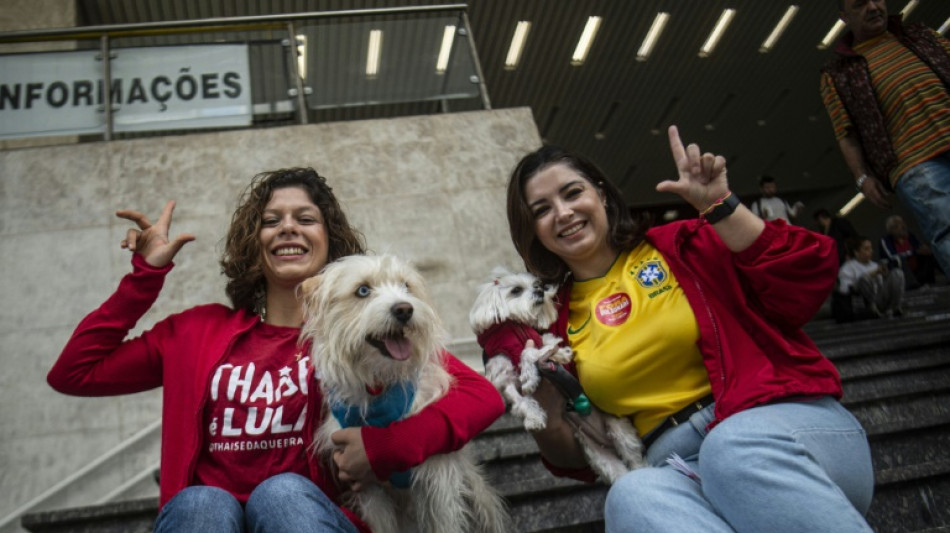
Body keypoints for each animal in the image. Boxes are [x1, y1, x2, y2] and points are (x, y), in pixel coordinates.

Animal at [304, 254, 512, 532]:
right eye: (363, 290)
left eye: (406, 286)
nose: (404, 309)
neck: (380, 385)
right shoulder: (368, 487)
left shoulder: (438, 478)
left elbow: (444, 524)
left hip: (479, 498)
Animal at [468, 266, 648, 482]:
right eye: (516, 290)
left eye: (536, 284)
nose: (540, 291)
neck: (515, 328)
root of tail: (605, 440)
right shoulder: (504, 379)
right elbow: (521, 400)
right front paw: (534, 417)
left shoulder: (544, 343)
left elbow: (538, 349)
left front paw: (535, 372)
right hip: (599, 456)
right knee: (618, 473)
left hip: (619, 431)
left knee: (635, 460)